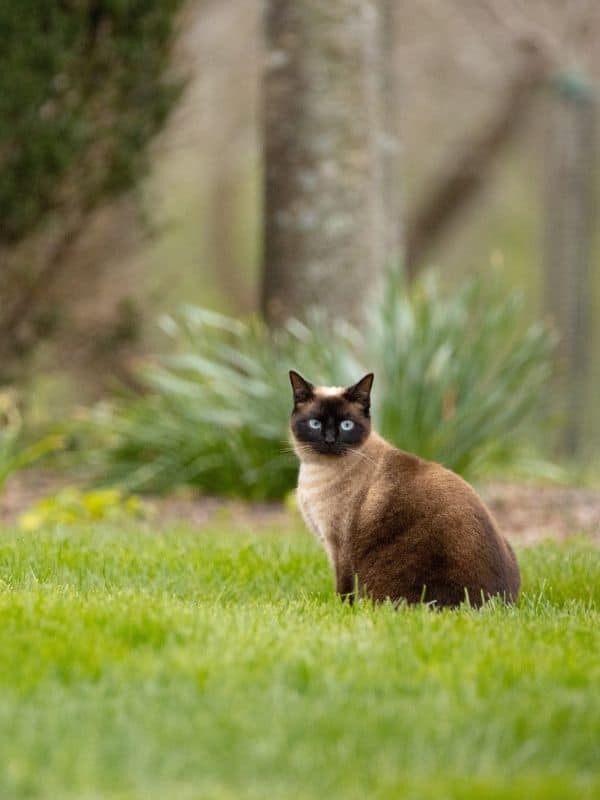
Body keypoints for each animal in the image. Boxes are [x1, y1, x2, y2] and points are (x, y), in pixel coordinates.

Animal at [290, 372, 520, 608]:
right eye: (315, 423)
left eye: (346, 425)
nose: (329, 440)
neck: (316, 472)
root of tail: (495, 605)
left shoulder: (338, 544)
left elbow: (344, 589)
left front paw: (343, 609)